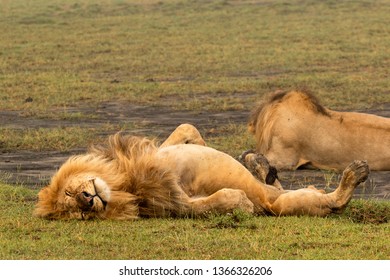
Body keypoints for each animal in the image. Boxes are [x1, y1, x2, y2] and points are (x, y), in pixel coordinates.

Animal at [35, 123, 370, 220]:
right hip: (286, 205)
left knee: (273, 183)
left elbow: (186, 131)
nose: (87, 200)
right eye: (78, 214)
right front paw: (242, 203)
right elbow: (210, 202)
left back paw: (258, 163)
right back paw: (355, 173)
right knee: (328, 202)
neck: (121, 179)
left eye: (70, 191)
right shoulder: (172, 198)